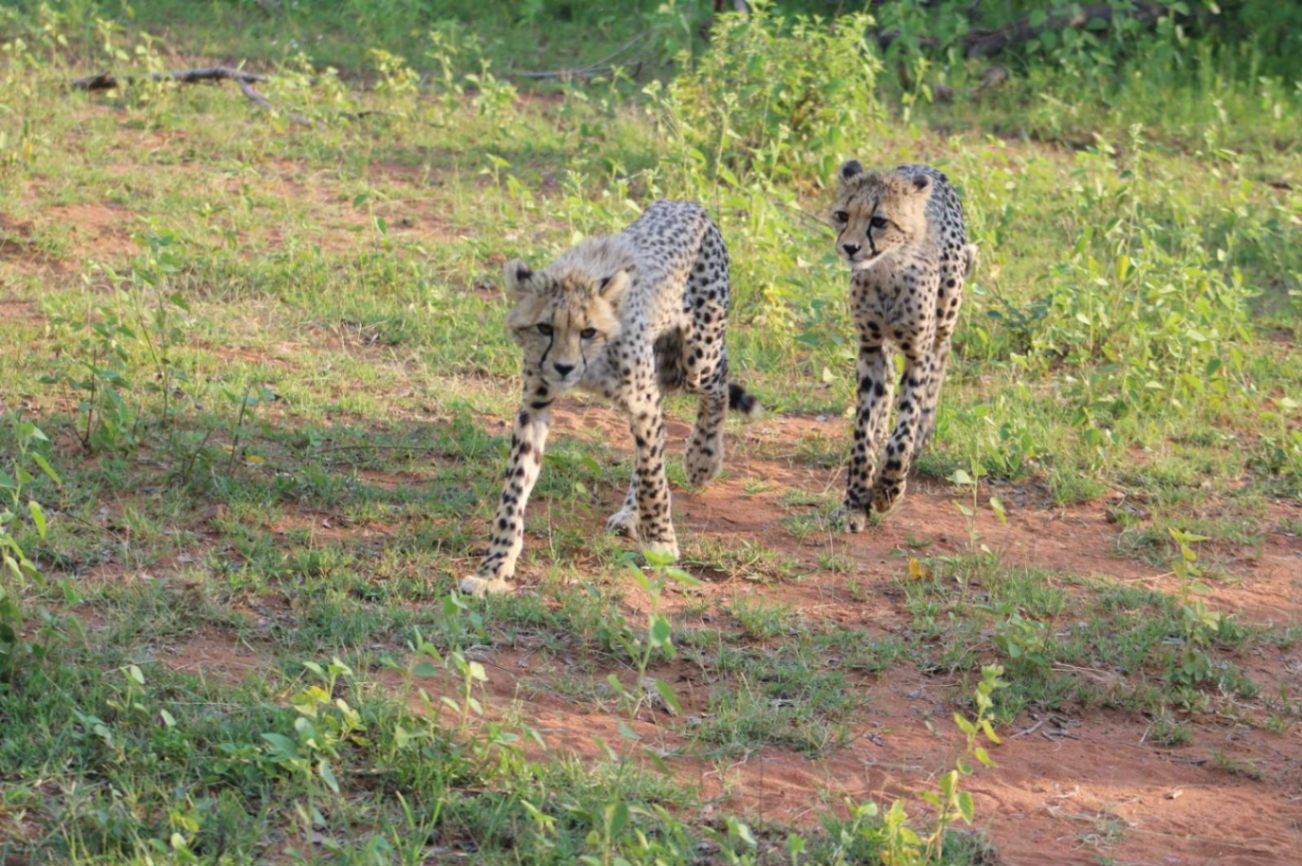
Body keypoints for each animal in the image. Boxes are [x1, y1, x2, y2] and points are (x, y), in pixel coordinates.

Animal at [460, 200, 760, 593]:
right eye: (545, 327)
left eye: (587, 331)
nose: (564, 368)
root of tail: (686, 202)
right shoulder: (535, 406)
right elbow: (515, 487)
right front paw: (494, 567)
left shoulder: (643, 401)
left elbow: (653, 478)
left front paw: (661, 541)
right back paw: (632, 513)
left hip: (698, 356)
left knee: (719, 382)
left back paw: (702, 459)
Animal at [828, 158, 973, 531]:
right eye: (842, 215)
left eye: (879, 221)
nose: (850, 247)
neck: (888, 269)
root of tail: (921, 166)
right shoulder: (870, 348)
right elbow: (863, 432)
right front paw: (855, 502)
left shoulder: (917, 352)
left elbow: (904, 429)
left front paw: (887, 490)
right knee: (889, 389)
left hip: (946, 314)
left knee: (940, 362)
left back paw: (922, 435)